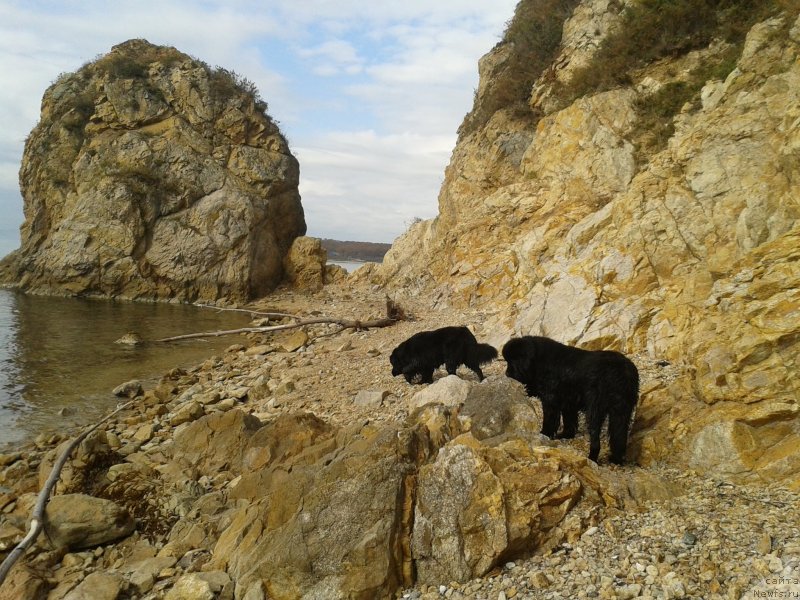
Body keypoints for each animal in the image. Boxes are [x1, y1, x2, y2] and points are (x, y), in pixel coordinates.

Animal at [504, 336, 640, 466]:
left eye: (513, 362)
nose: (507, 374)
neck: (538, 361)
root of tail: (622, 371)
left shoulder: (550, 399)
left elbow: (549, 420)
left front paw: (544, 435)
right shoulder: (568, 402)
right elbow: (569, 421)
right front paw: (565, 435)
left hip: (595, 409)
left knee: (596, 438)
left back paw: (592, 458)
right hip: (621, 410)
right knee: (619, 435)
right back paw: (616, 459)